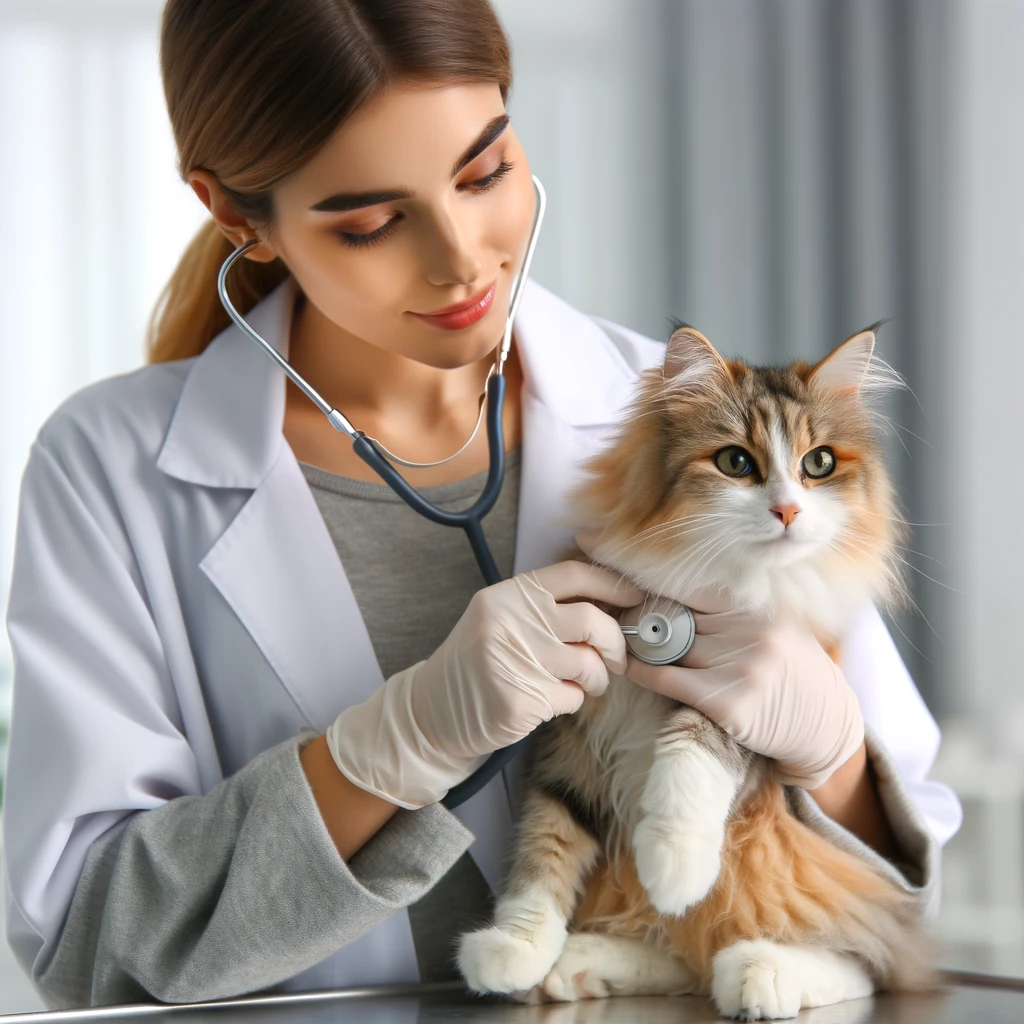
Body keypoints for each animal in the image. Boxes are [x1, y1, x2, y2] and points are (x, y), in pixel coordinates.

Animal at [460, 321, 937, 1015]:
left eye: (818, 463)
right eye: (736, 462)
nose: (788, 510)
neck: (721, 584)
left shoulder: (748, 693)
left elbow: (692, 749)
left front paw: (672, 859)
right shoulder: (571, 734)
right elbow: (546, 844)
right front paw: (514, 948)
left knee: (869, 949)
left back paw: (762, 971)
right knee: (685, 953)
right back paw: (577, 965)